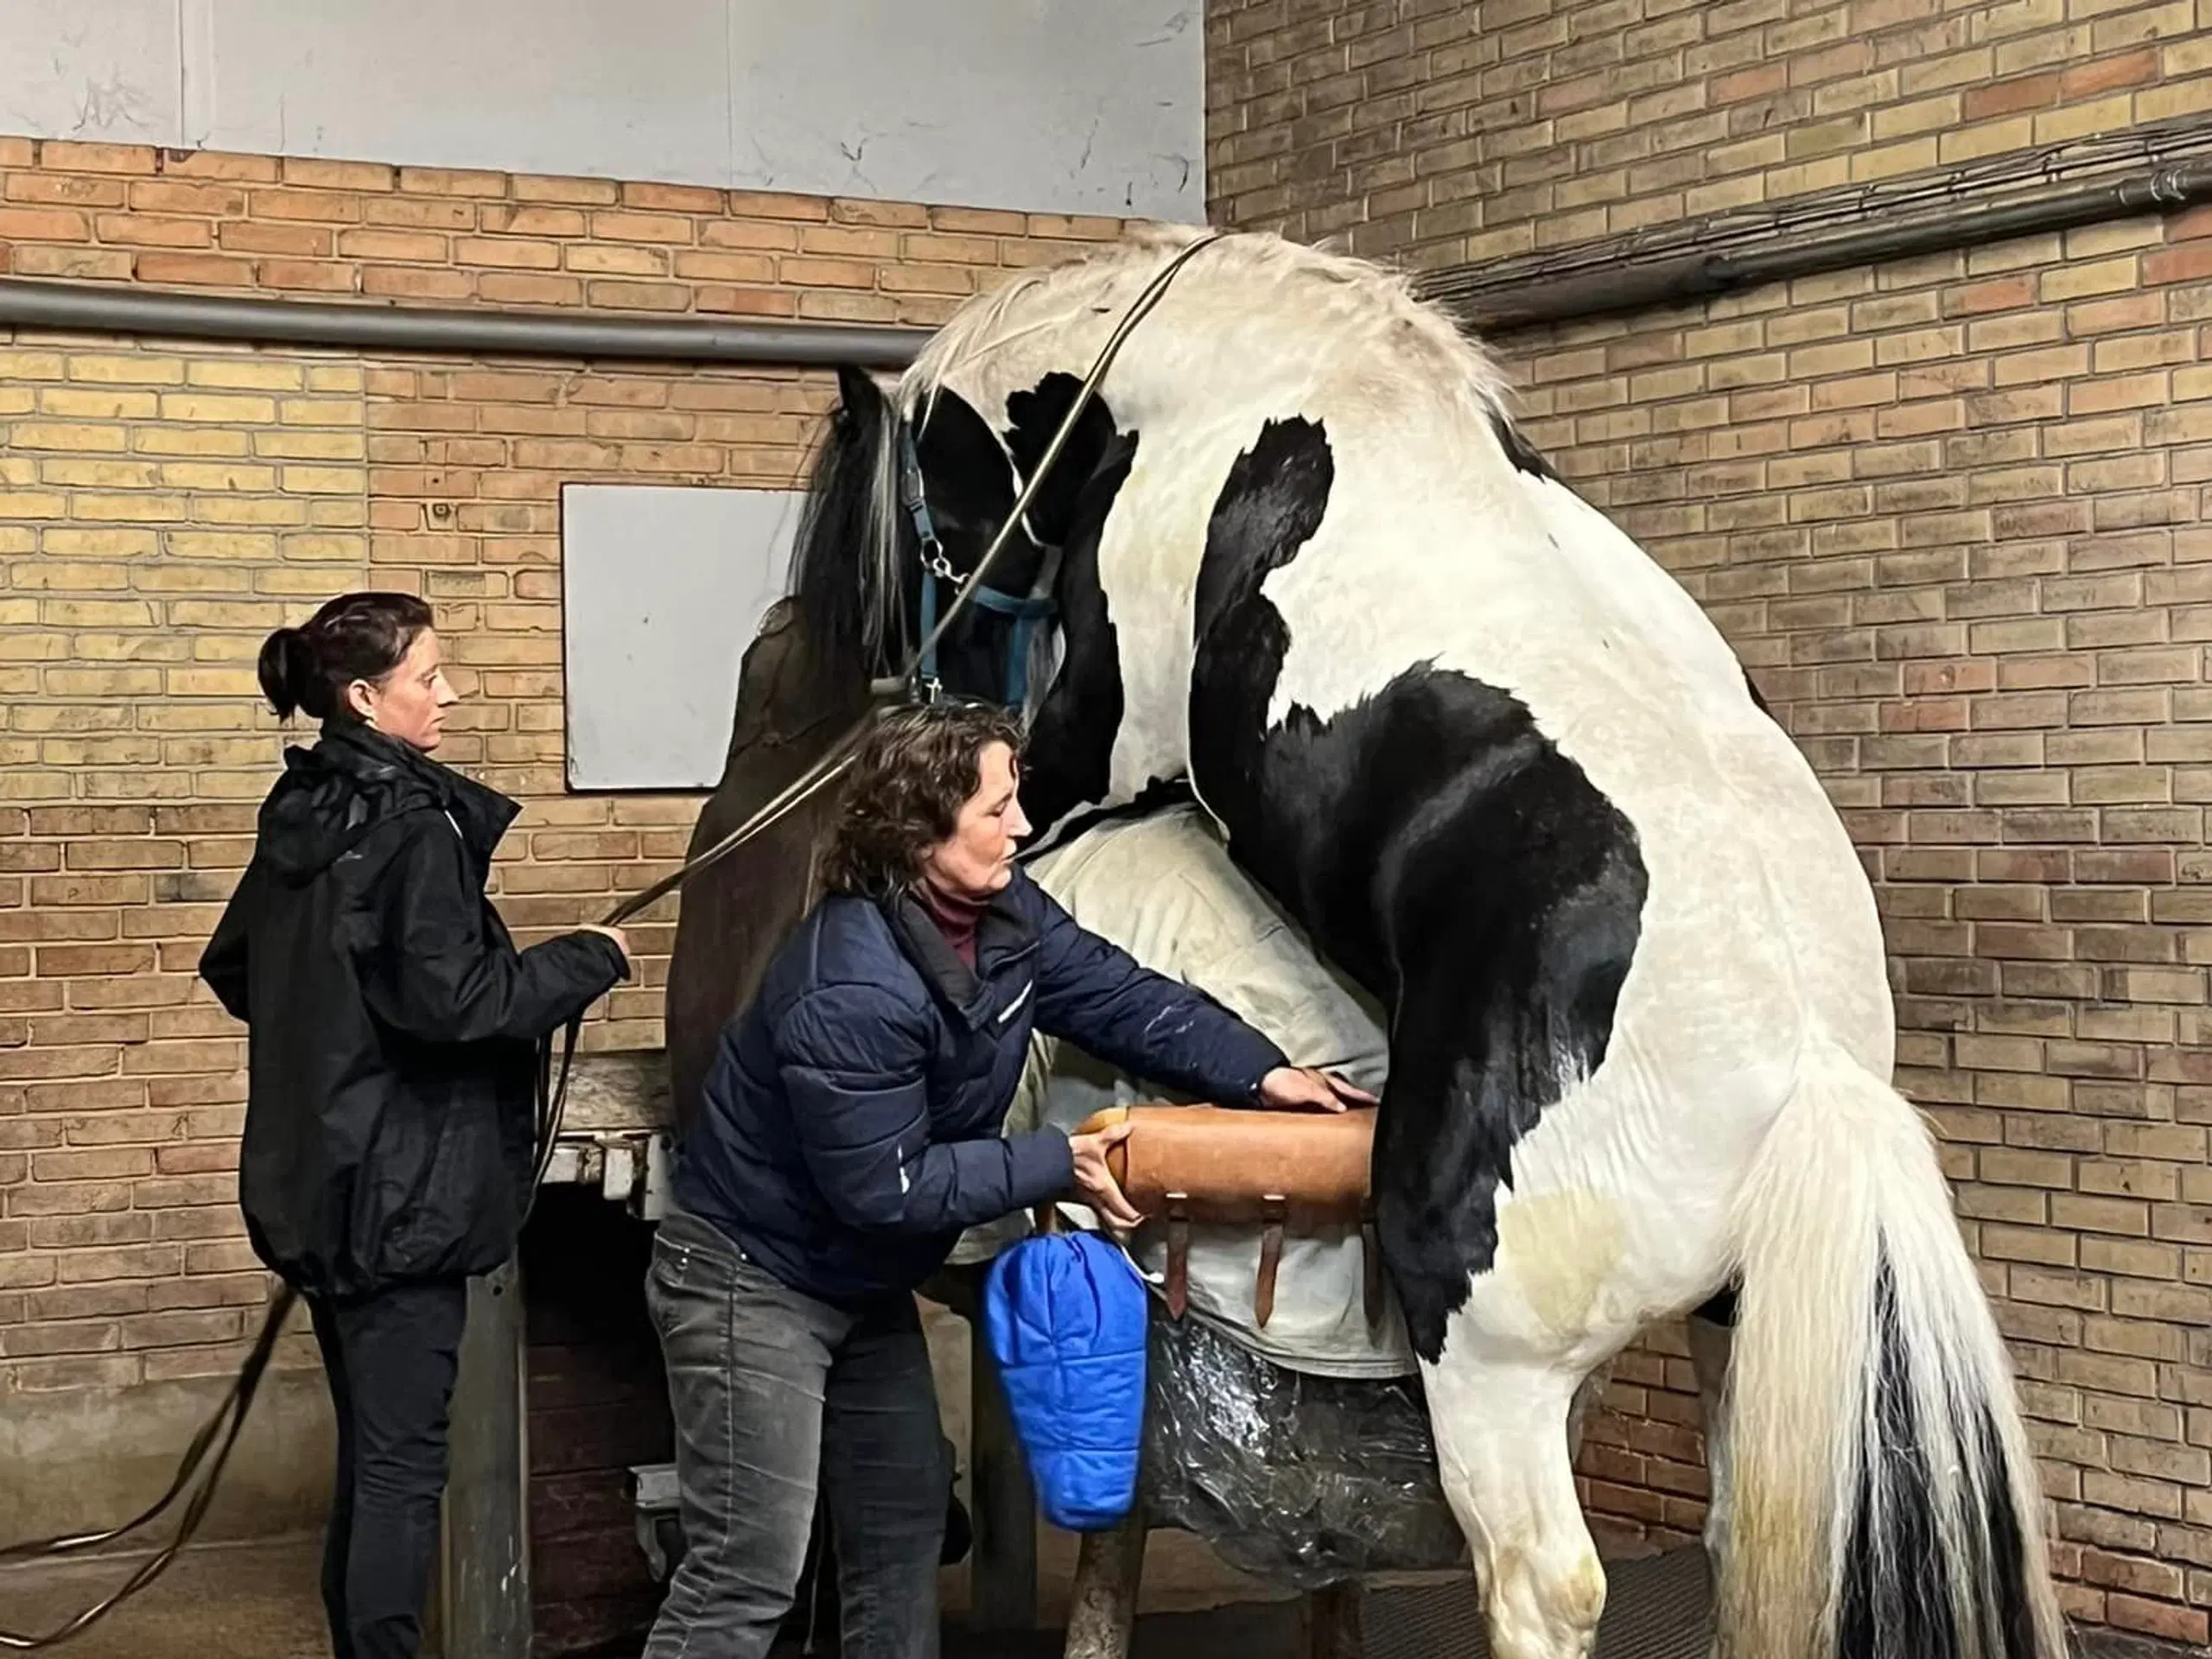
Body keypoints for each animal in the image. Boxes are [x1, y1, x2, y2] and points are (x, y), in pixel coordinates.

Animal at [791, 224, 2052, 1659]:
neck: (1247, 392)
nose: (916, 689)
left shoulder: (1092, 749)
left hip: (1495, 1367)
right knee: (1746, 1544)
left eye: (896, 533)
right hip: (1740, 1335)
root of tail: (1808, 1076)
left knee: (1542, 1583)